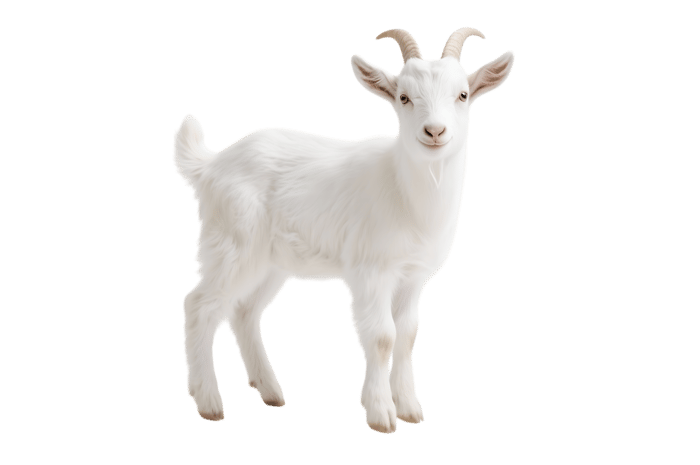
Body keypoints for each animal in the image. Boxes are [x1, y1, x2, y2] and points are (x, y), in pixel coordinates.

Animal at [173, 27, 515, 434]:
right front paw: (381, 415)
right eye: (403, 97)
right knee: (199, 306)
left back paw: (270, 391)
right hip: (232, 243)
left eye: (462, 94)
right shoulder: (370, 269)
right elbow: (382, 337)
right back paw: (209, 403)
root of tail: (210, 164)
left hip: (272, 263)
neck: (403, 189)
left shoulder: (414, 275)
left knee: (244, 311)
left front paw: (410, 409)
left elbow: (408, 334)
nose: (435, 131)